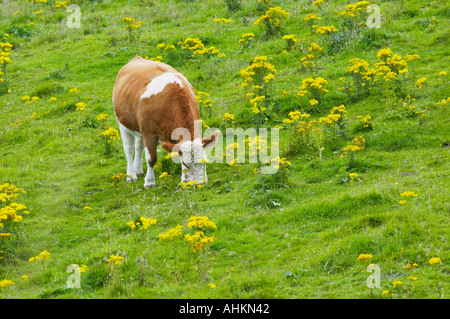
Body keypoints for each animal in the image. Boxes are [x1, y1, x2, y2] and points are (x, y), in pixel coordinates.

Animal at [112, 55, 218, 189]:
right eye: (187, 164)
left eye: (204, 161)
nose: (200, 184)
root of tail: (137, 58)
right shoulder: (149, 134)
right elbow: (151, 159)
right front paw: (149, 182)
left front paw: (184, 181)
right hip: (123, 124)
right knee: (129, 149)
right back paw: (131, 175)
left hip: (139, 128)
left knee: (138, 145)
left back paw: (138, 170)